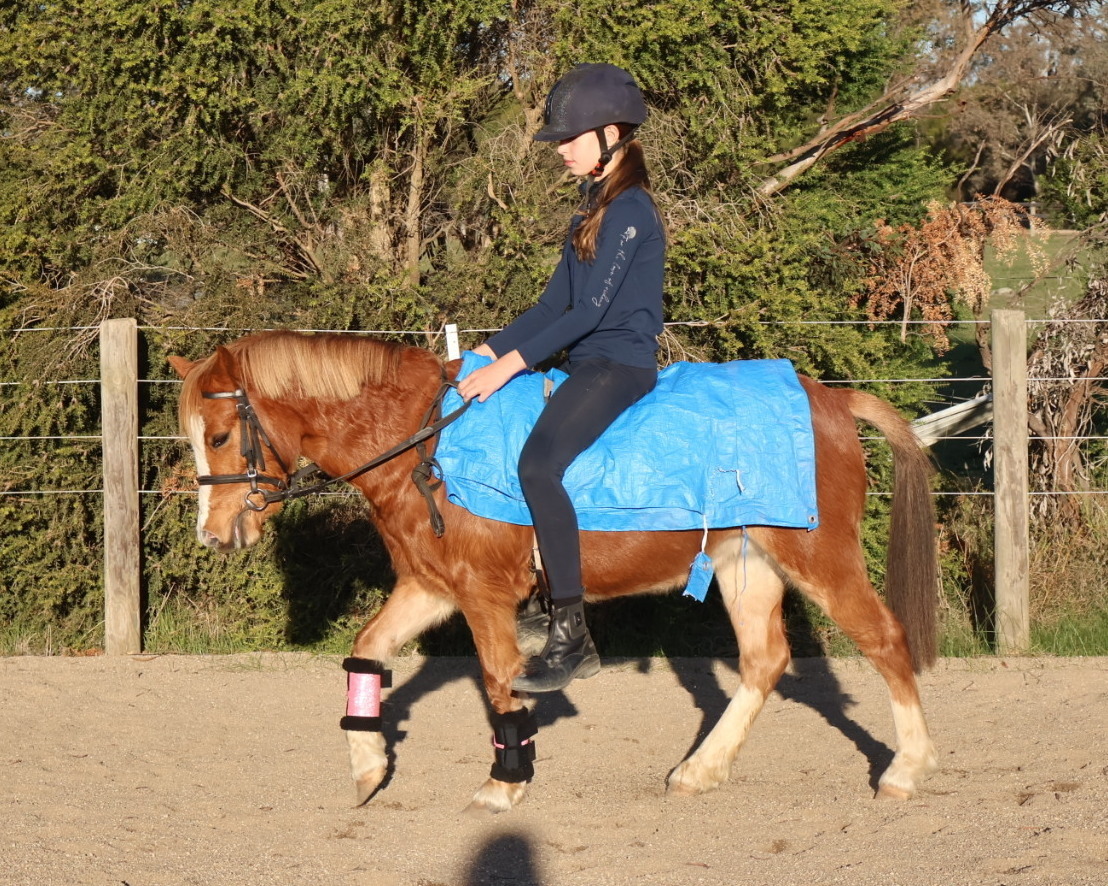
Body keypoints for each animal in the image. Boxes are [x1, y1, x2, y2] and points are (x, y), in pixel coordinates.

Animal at [169, 330, 940, 813]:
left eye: (219, 435)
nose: (215, 535)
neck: (423, 441)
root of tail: (829, 398)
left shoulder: (482, 596)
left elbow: (499, 680)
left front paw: (504, 783)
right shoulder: (431, 587)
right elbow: (367, 650)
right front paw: (367, 768)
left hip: (819, 557)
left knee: (885, 640)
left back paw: (907, 770)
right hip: (744, 561)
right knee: (764, 660)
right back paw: (700, 770)